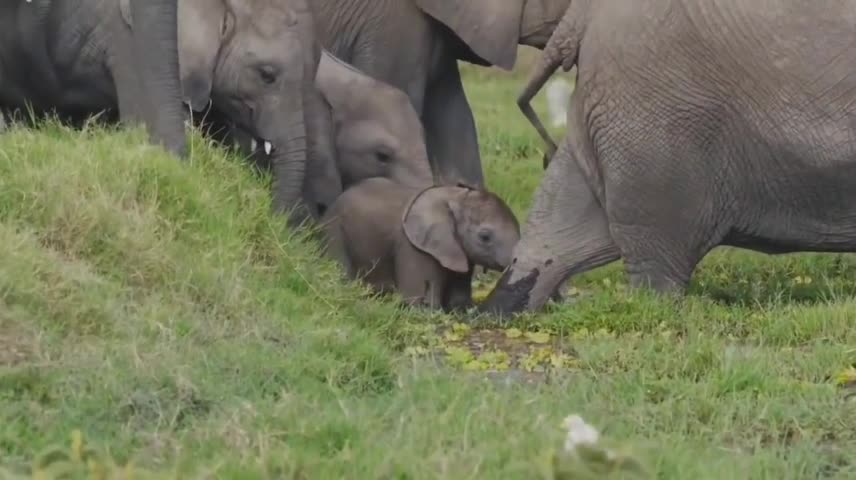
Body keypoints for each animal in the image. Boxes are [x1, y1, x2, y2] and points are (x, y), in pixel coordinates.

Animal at [320, 177, 520, 312]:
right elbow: (416, 298)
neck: (454, 197)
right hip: (333, 228)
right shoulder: (412, 246)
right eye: (485, 237)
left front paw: (460, 311)